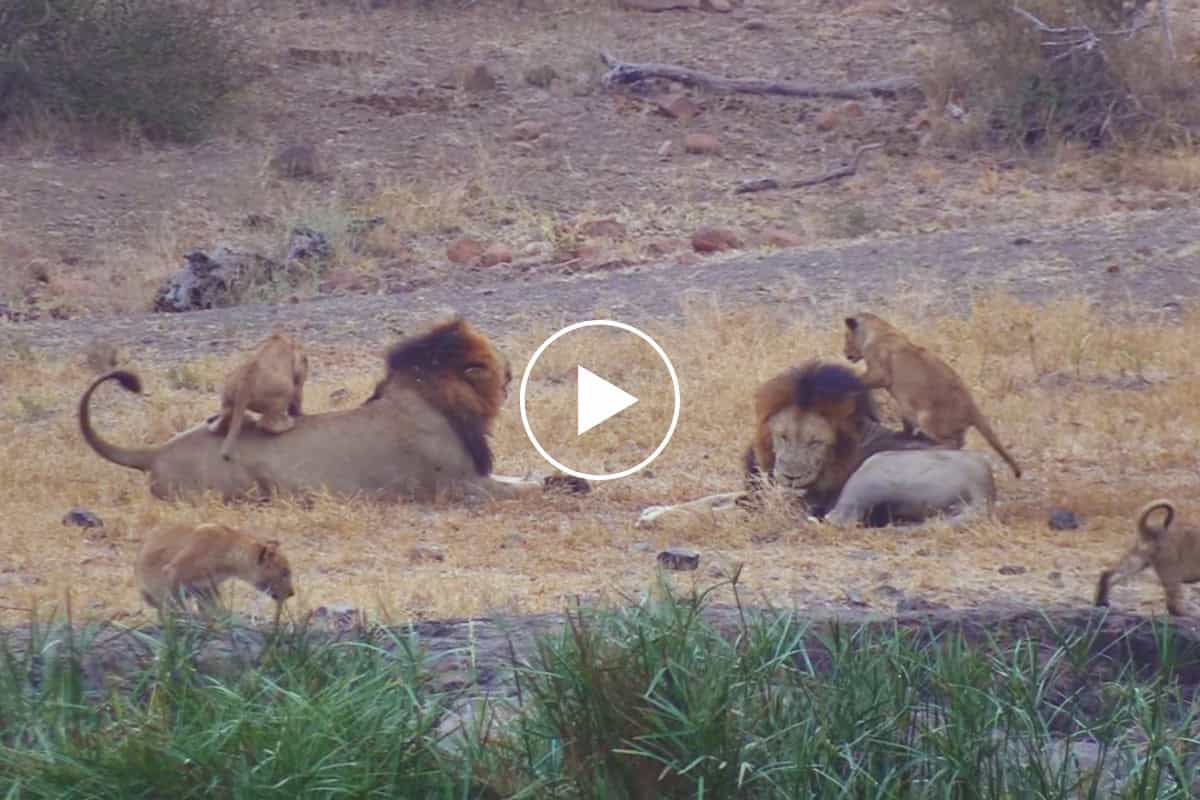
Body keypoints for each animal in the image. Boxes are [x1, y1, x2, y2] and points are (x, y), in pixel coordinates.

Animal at [213, 331, 312, 460]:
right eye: (305, 360)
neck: (279, 339)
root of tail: (245, 385)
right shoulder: (298, 377)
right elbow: (298, 394)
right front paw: (300, 414)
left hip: (227, 392)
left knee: (225, 415)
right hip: (285, 391)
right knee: (265, 424)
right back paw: (288, 424)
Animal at [638, 362, 993, 525]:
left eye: (815, 442)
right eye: (783, 436)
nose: (790, 475)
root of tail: (986, 488)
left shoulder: (782, 505)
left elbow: (718, 512)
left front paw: (660, 519)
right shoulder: (761, 491)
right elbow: (711, 499)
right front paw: (657, 509)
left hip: (874, 468)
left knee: (839, 520)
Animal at [844, 311, 1022, 474]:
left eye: (846, 337)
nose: (845, 354)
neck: (879, 330)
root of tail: (971, 407)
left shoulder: (879, 373)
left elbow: (861, 379)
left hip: (926, 418)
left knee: (953, 443)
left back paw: (932, 447)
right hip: (913, 410)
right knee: (957, 441)